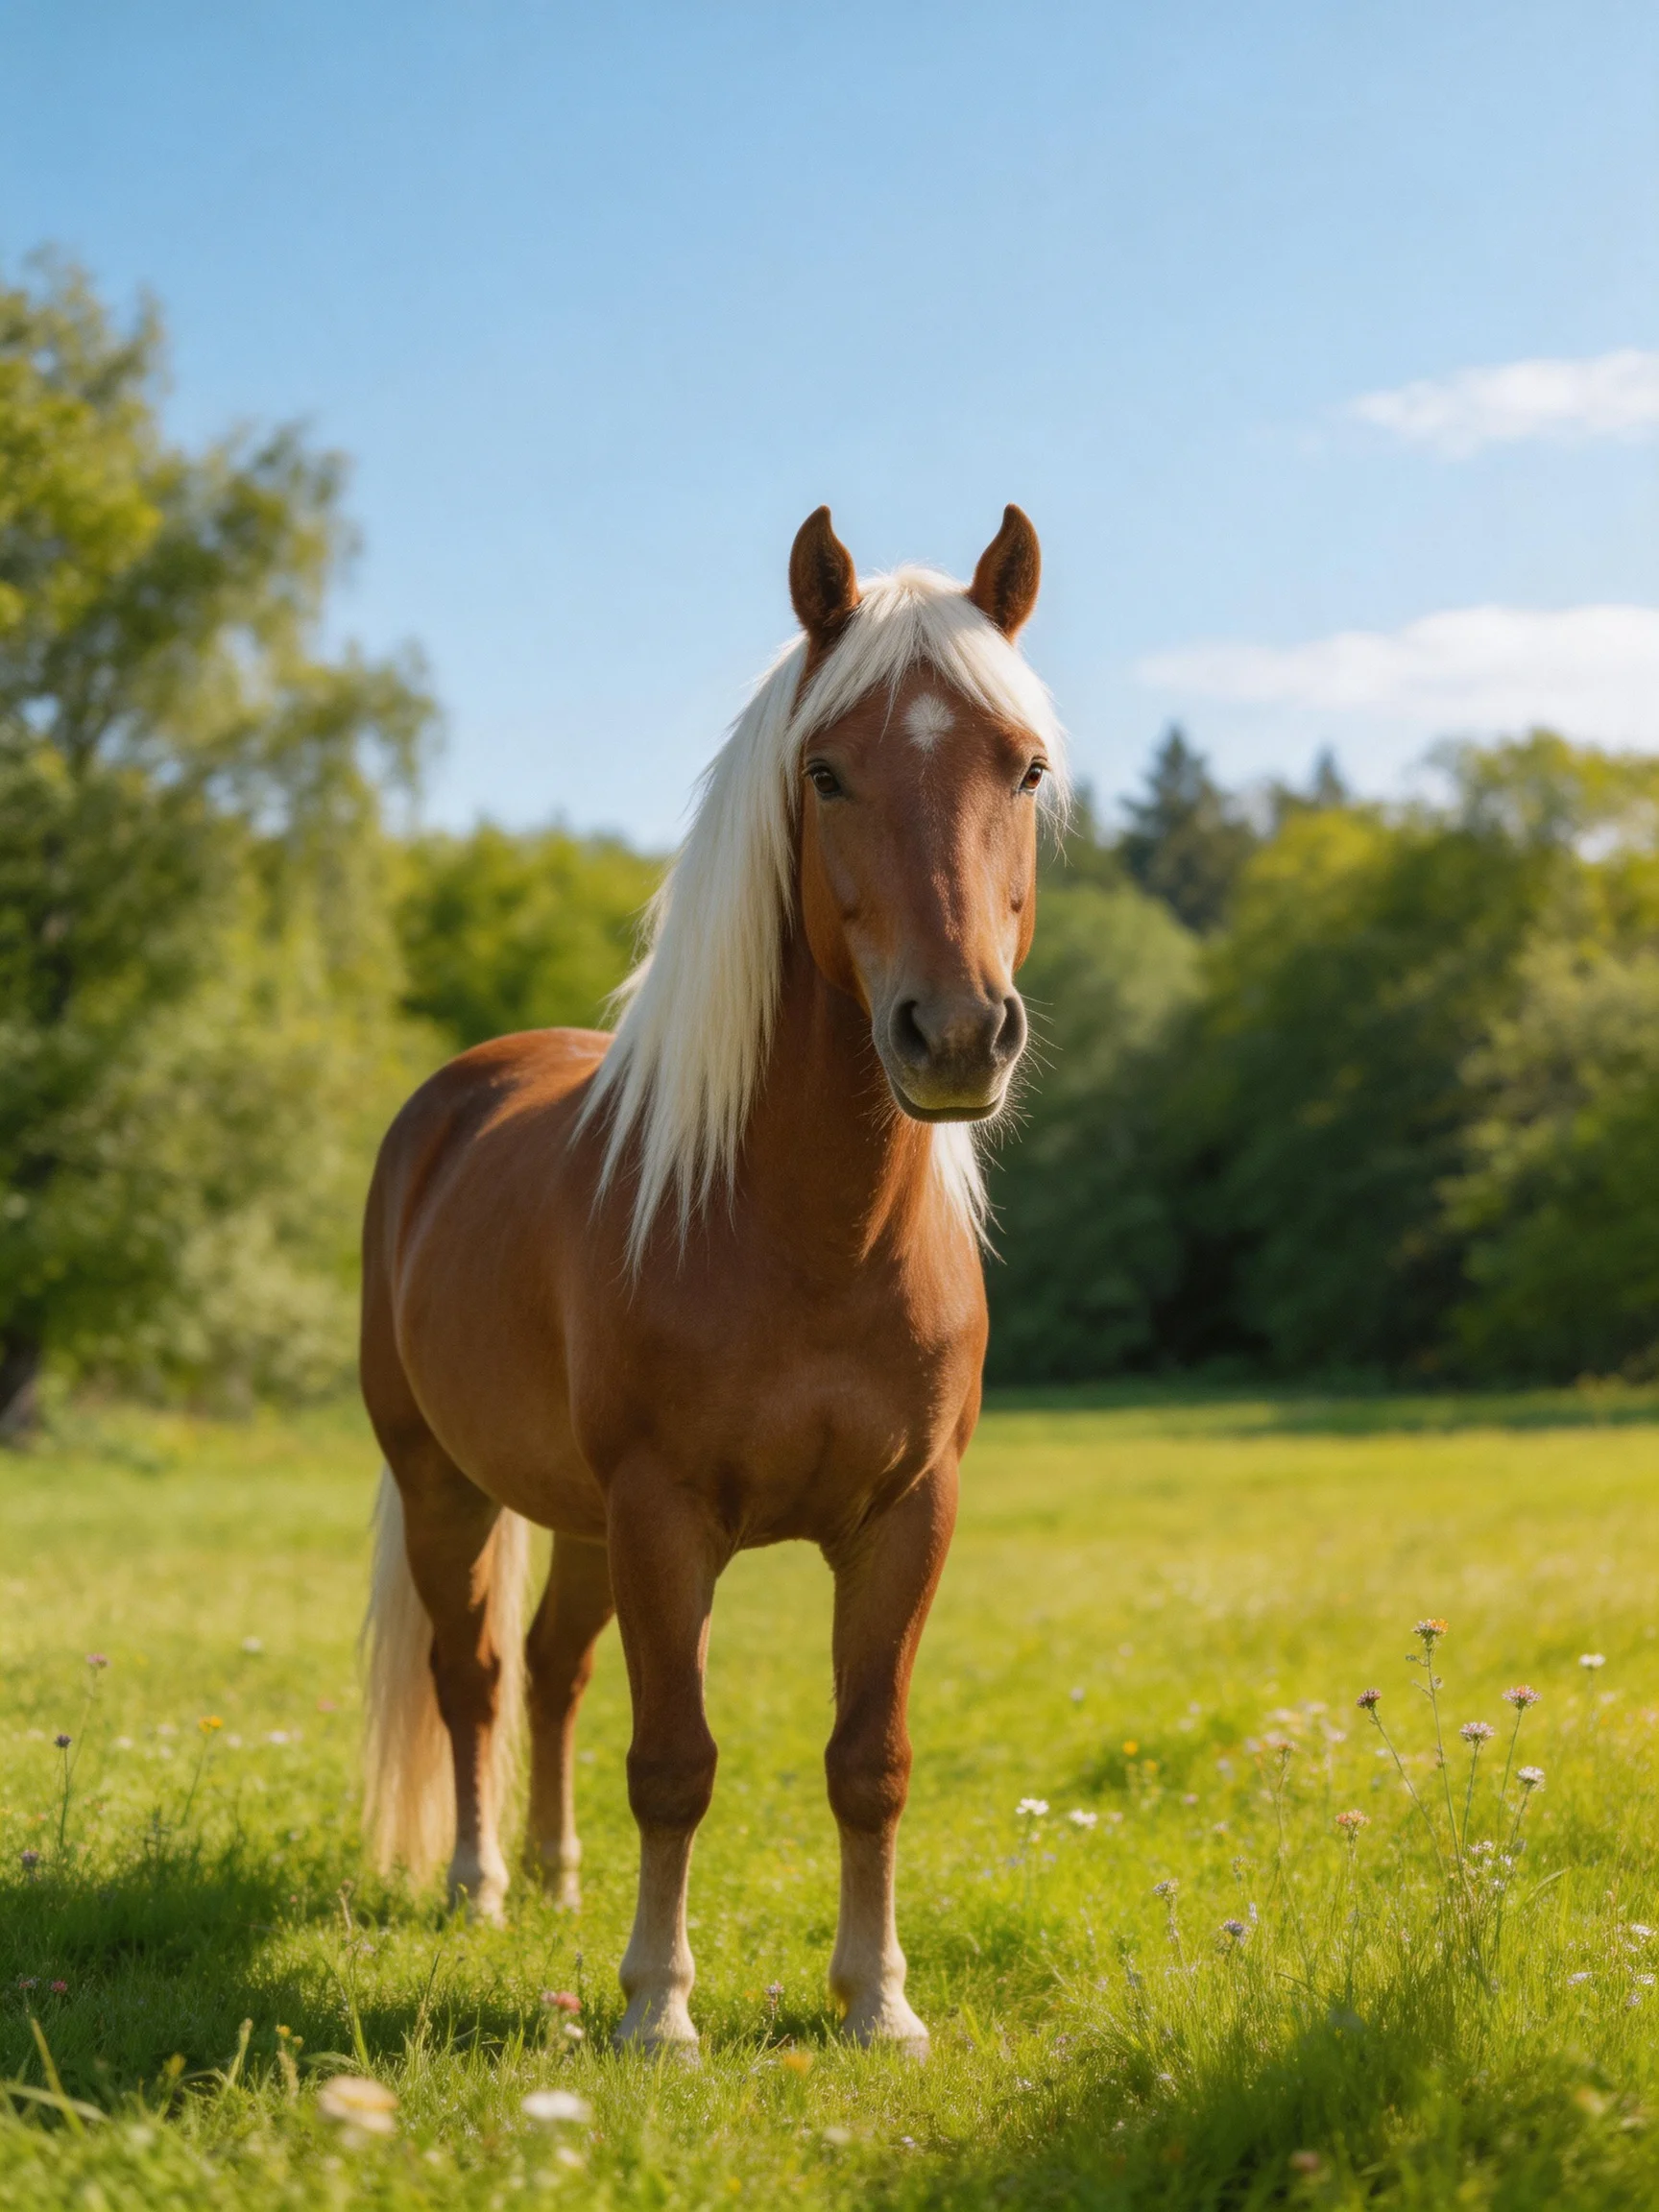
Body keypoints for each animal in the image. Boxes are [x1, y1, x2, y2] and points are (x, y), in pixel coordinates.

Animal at [358, 504, 1065, 2057]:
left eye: (1026, 768)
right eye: (828, 770)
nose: (955, 1035)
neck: (806, 1238)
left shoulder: (907, 1518)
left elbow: (871, 1760)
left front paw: (878, 2003)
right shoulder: (666, 1516)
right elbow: (675, 1761)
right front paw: (656, 2011)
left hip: (574, 1520)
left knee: (552, 1670)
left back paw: (555, 1880)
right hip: (446, 1483)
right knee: (475, 1677)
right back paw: (480, 1888)